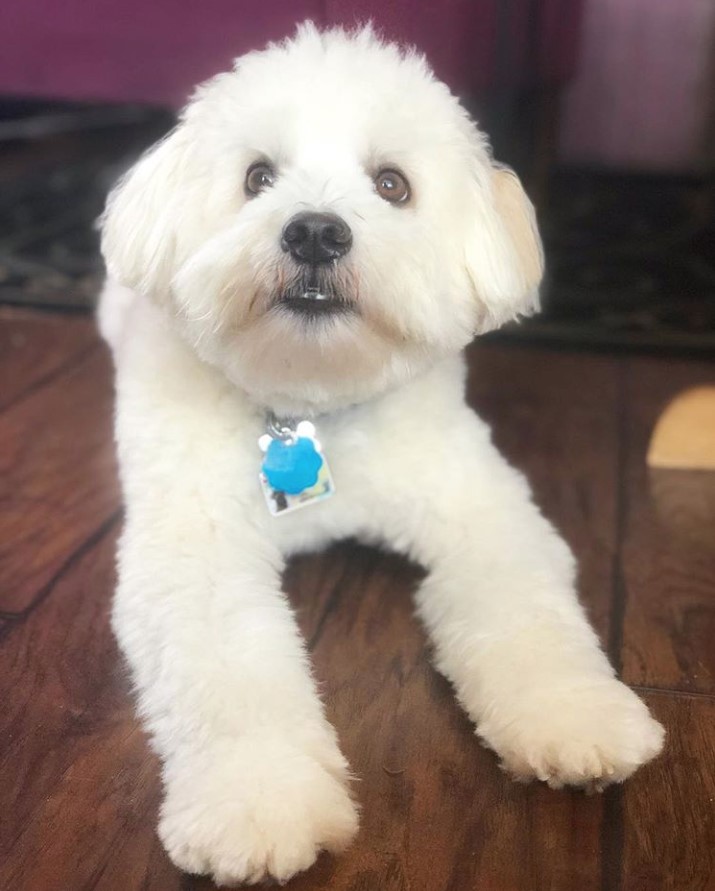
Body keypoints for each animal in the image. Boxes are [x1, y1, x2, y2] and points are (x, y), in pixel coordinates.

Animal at [96, 24, 664, 888]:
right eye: (257, 177)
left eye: (392, 185)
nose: (315, 231)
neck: (310, 403)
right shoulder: (195, 556)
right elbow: (229, 676)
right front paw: (256, 803)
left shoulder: (482, 511)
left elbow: (530, 614)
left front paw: (574, 713)